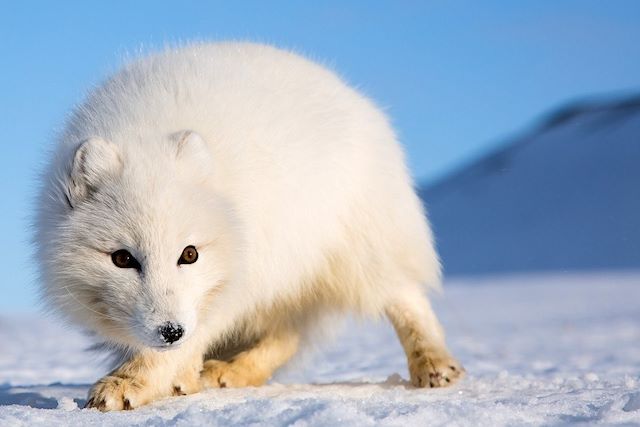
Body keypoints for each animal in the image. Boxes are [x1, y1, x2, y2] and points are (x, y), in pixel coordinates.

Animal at [35, 42, 462, 412]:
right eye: (122, 259)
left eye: (189, 254)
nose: (170, 330)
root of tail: (352, 94)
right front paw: (175, 380)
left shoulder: (231, 284)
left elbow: (185, 342)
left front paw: (129, 383)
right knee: (289, 333)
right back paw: (230, 372)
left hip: (356, 248)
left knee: (405, 296)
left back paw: (434, 365)